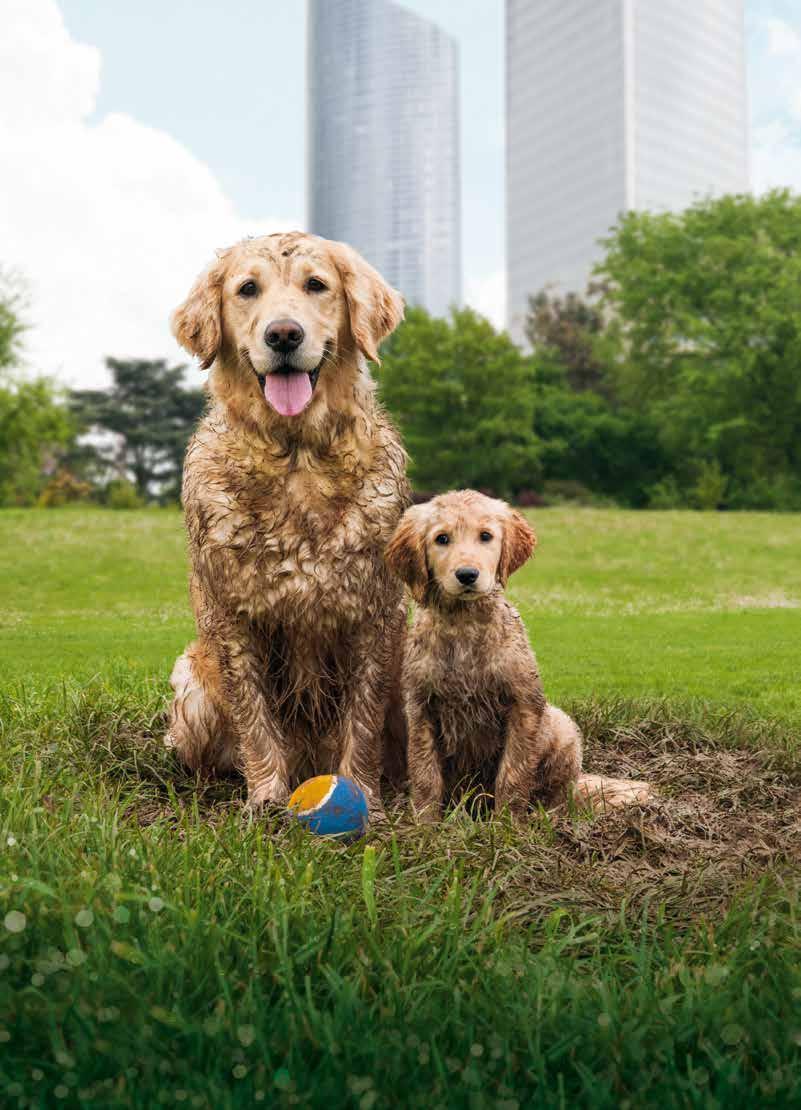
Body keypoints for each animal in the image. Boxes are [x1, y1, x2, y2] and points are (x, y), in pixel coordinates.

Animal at [166, 231, 408, 816]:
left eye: (316, 285)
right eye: (247, 289)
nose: (283, 334)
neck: (296, 456)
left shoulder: (376, 615)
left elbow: (362, 721)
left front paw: (363, 795)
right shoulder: (232, 618)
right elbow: (255, 719)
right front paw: (267, 800)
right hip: (191, 682)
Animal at [381, 490, 647, 821]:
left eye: (485, 536)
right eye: (441, 538)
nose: (467, 575)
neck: (463, 625)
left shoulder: (524, 705)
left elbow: (513, 774)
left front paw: (507, 825)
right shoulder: (420, 709)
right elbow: (425, 775)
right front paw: (424, 825)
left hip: (562, 728)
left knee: (559, 796)